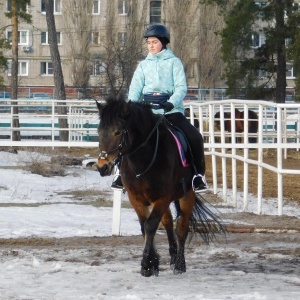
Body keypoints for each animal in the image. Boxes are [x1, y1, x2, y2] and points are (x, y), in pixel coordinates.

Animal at [96, 95, 225, 276]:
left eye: (118, 131)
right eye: (99, 132)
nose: (102, 167)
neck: (144, 159)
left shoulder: (163, 197)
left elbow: (150, 226)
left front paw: (146, 264)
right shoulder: (136, 198)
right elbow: (144, 226)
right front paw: (153, 263)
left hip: (187, 195)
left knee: (182, 227)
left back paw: (179, 264)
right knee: (168, 222)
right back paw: (172, 256)